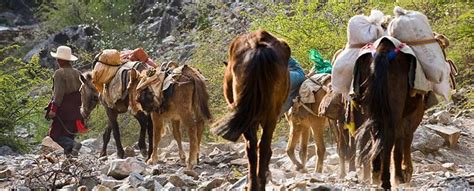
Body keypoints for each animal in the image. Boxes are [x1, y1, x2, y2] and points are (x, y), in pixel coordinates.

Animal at [213, 29, 290, 190]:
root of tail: (257, 46)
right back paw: (258, 183)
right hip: (267, 115)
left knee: (253, 146)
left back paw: (255, 184)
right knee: (261, 145)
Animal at [354, 38, 424, 189]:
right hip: (394, 109)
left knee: (376, 134)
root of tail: (383, 49)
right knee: (389, 137)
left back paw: (376, 175)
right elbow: (404, 140)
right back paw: (386, 180)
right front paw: (404, 173)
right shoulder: (413, 114)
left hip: (371, 108)